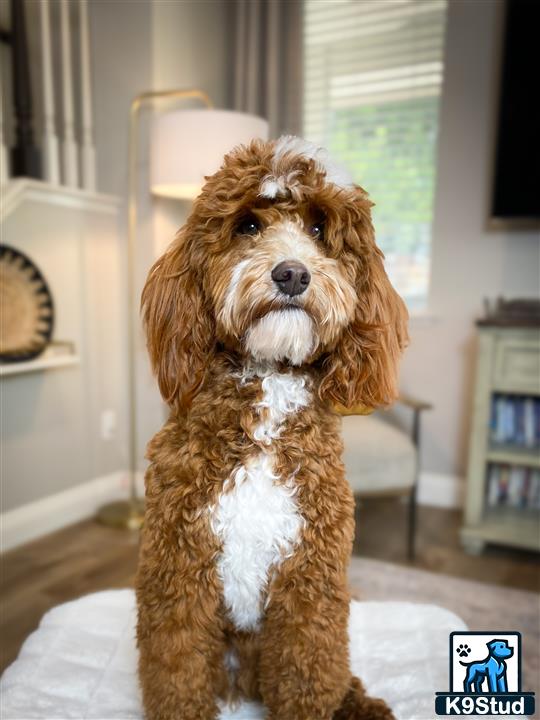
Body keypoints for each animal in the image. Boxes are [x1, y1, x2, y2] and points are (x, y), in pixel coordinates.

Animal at [136, 136, 410, 720]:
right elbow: (176, 671)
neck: (268, 386)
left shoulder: (310, 581)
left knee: (337, 677)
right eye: (247, 225)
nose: (292, 274)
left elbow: (308, 671)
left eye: (318, 228)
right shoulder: (177, 569)